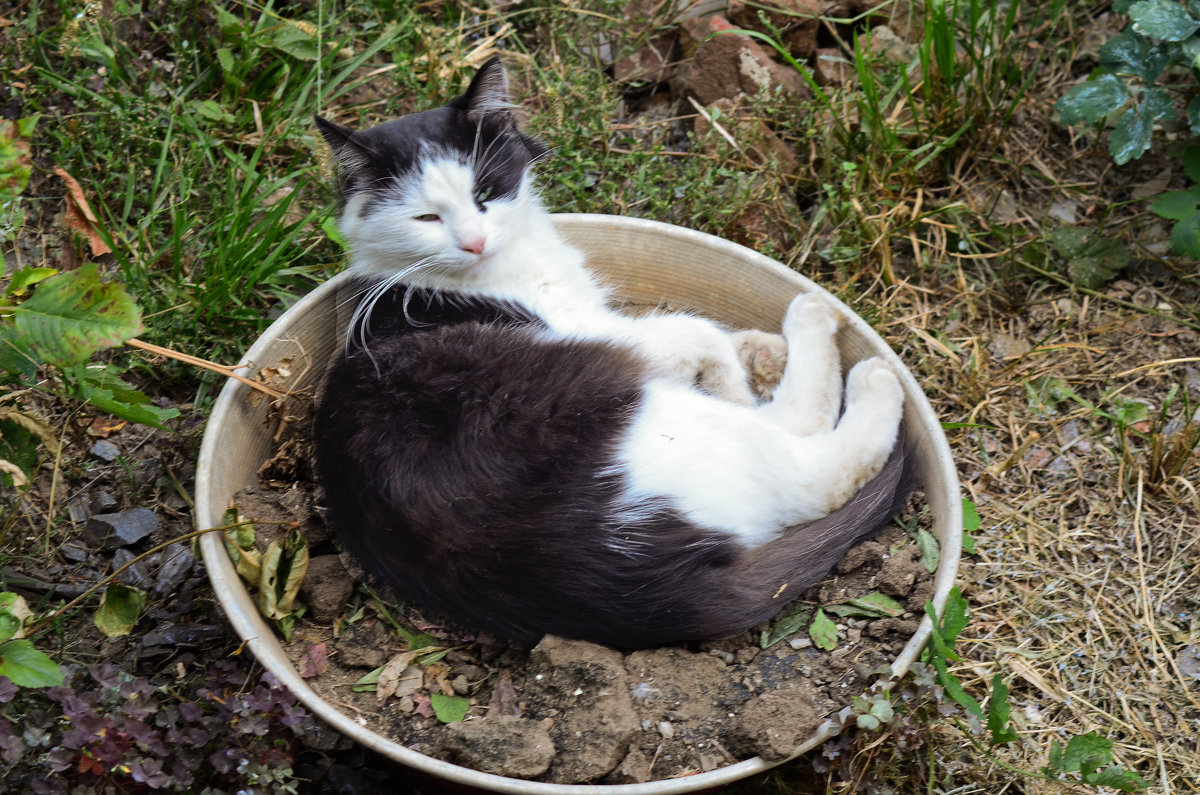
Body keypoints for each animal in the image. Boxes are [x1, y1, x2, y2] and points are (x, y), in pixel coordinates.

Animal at [309, 57, 907, 653]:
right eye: (426, 219)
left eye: (486, 191)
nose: (474, 242)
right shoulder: (594, 329)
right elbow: (699, 331)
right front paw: (738, 379)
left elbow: (709, 333)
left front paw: (757, 354)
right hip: (657, 414)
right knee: (814, 461)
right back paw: (844, 351)